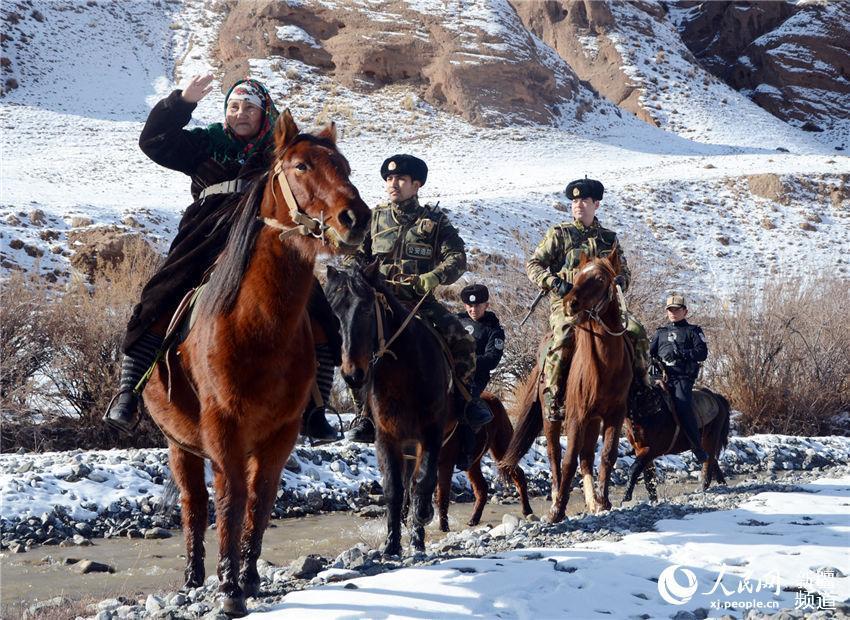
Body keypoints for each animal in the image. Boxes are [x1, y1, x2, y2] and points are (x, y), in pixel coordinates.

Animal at [142, 110, 368, 616]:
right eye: (301, 166)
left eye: (345, 166)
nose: (355, 218)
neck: (258, 327)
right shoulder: (223, 428)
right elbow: (229, 502)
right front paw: (228, 589)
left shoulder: (281, 433)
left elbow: (261, 500)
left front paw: (248, 577)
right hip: (179, 444)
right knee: (193, 503)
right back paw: (193, 577)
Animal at [324, 264, 454, 556]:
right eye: (332, 313)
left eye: (366, 309)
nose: (352, 375)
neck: (403, 372)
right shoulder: (387, 437)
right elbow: (394, 488)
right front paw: (391, 544)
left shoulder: (431, 434)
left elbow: (423, 481)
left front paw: (421, 524)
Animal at [434, 394, 532, 532]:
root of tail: (494, 398)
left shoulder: (445, 464)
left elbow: (442, 495)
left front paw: (443, 527)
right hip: (473, 463)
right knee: (481, 487)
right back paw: (473, 519)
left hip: (502, 448)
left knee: (519, 475)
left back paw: (527, 510)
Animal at [500, 249, 632, 520]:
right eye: (578, 275)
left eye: (601, 279)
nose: (571, 302)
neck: (605, 366)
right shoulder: (576, 416)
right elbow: (568, 459)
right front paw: (558, 510)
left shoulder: (614, 414)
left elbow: (607, 456)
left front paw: (604, 502)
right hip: (551, 418)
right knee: (555, 456)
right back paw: (554, 500)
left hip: (593, 421)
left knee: (587, 457)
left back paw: (592, 502)